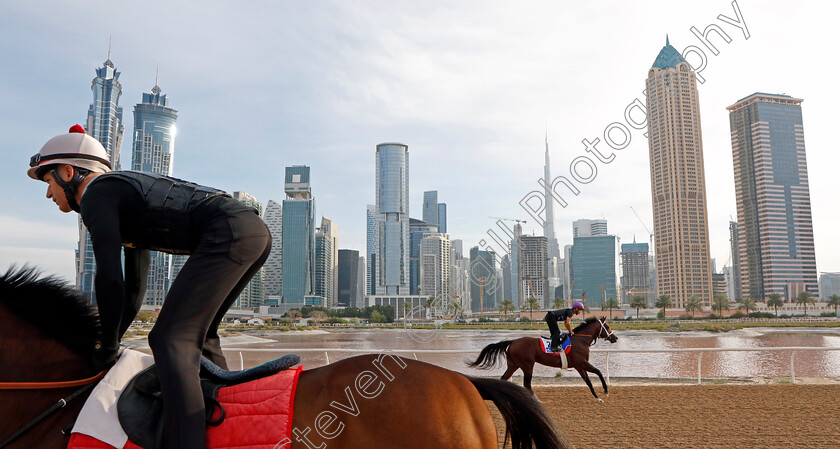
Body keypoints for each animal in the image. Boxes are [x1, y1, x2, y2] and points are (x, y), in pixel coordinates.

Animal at [472, 316, 616, 400]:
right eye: (608, 327)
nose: (615, 338)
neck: (581, 340)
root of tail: (512, 342)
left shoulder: (578, 365)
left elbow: (588, 382)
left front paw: (597, 397)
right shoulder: (582, 362)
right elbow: (598, 371)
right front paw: (606, 391)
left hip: (513, 364)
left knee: (504, 379)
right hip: (527, 365)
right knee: (527, 384)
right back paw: (536, 399)